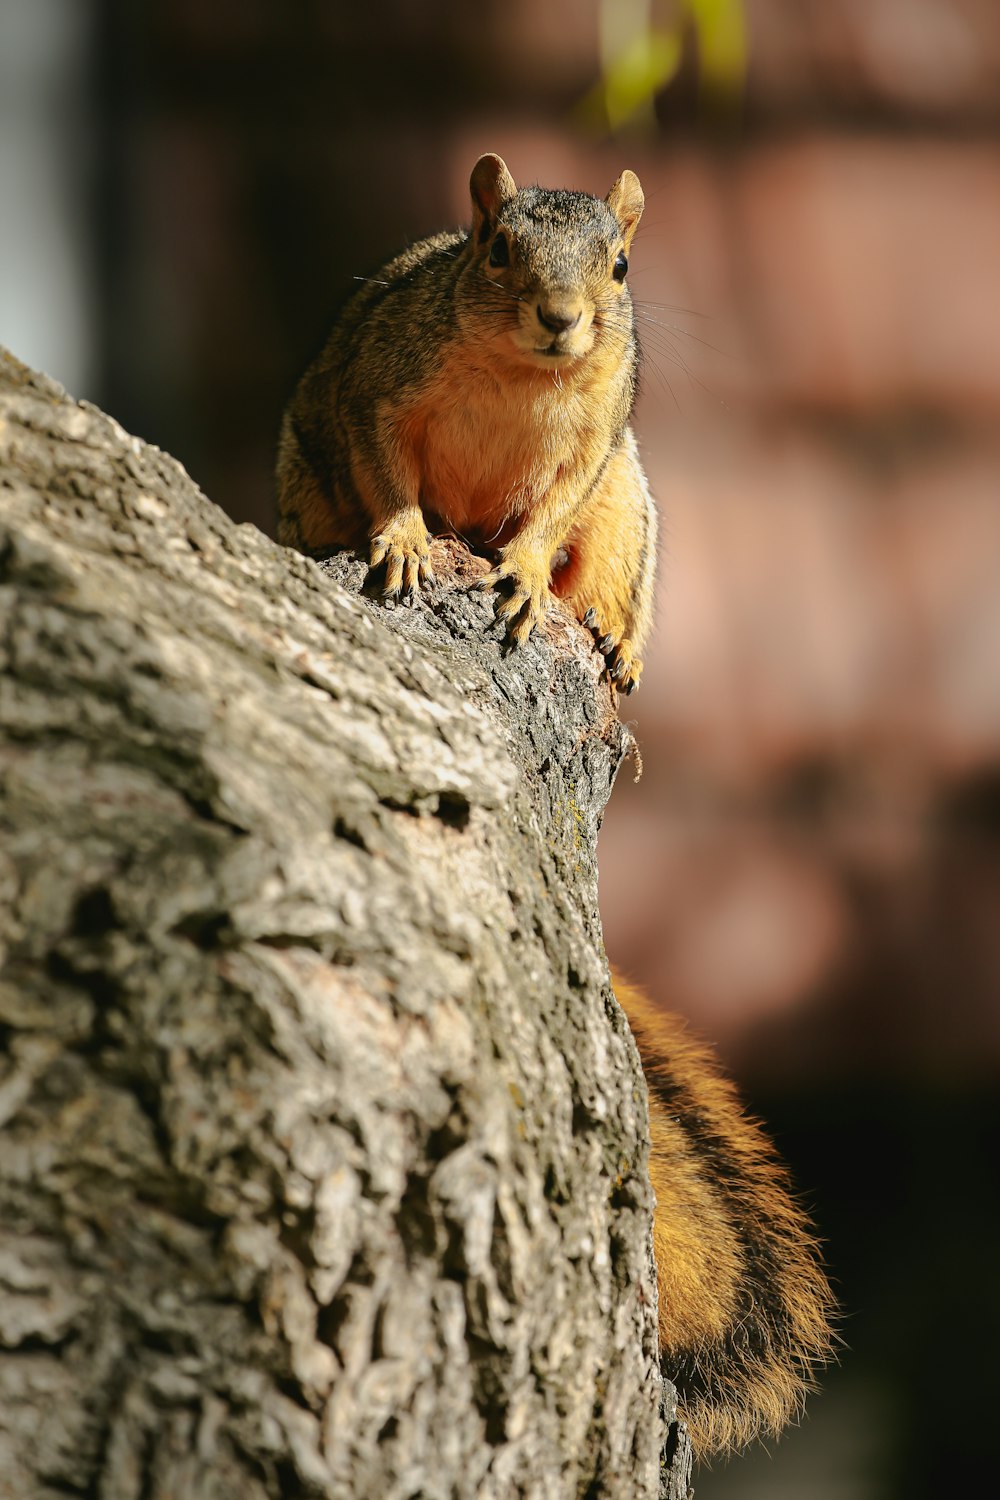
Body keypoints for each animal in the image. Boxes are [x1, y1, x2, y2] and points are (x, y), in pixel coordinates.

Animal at [275, 152, 839, 1452]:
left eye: (622, 267)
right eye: (495, 252)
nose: (561, 318)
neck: (518, 380)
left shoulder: (590, 448)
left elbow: (543, 518)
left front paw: (525, 576)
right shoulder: (376, 390)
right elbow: (389, 474)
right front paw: (402, 540)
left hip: (633, 503)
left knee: (613, 571)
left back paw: (616, 649)